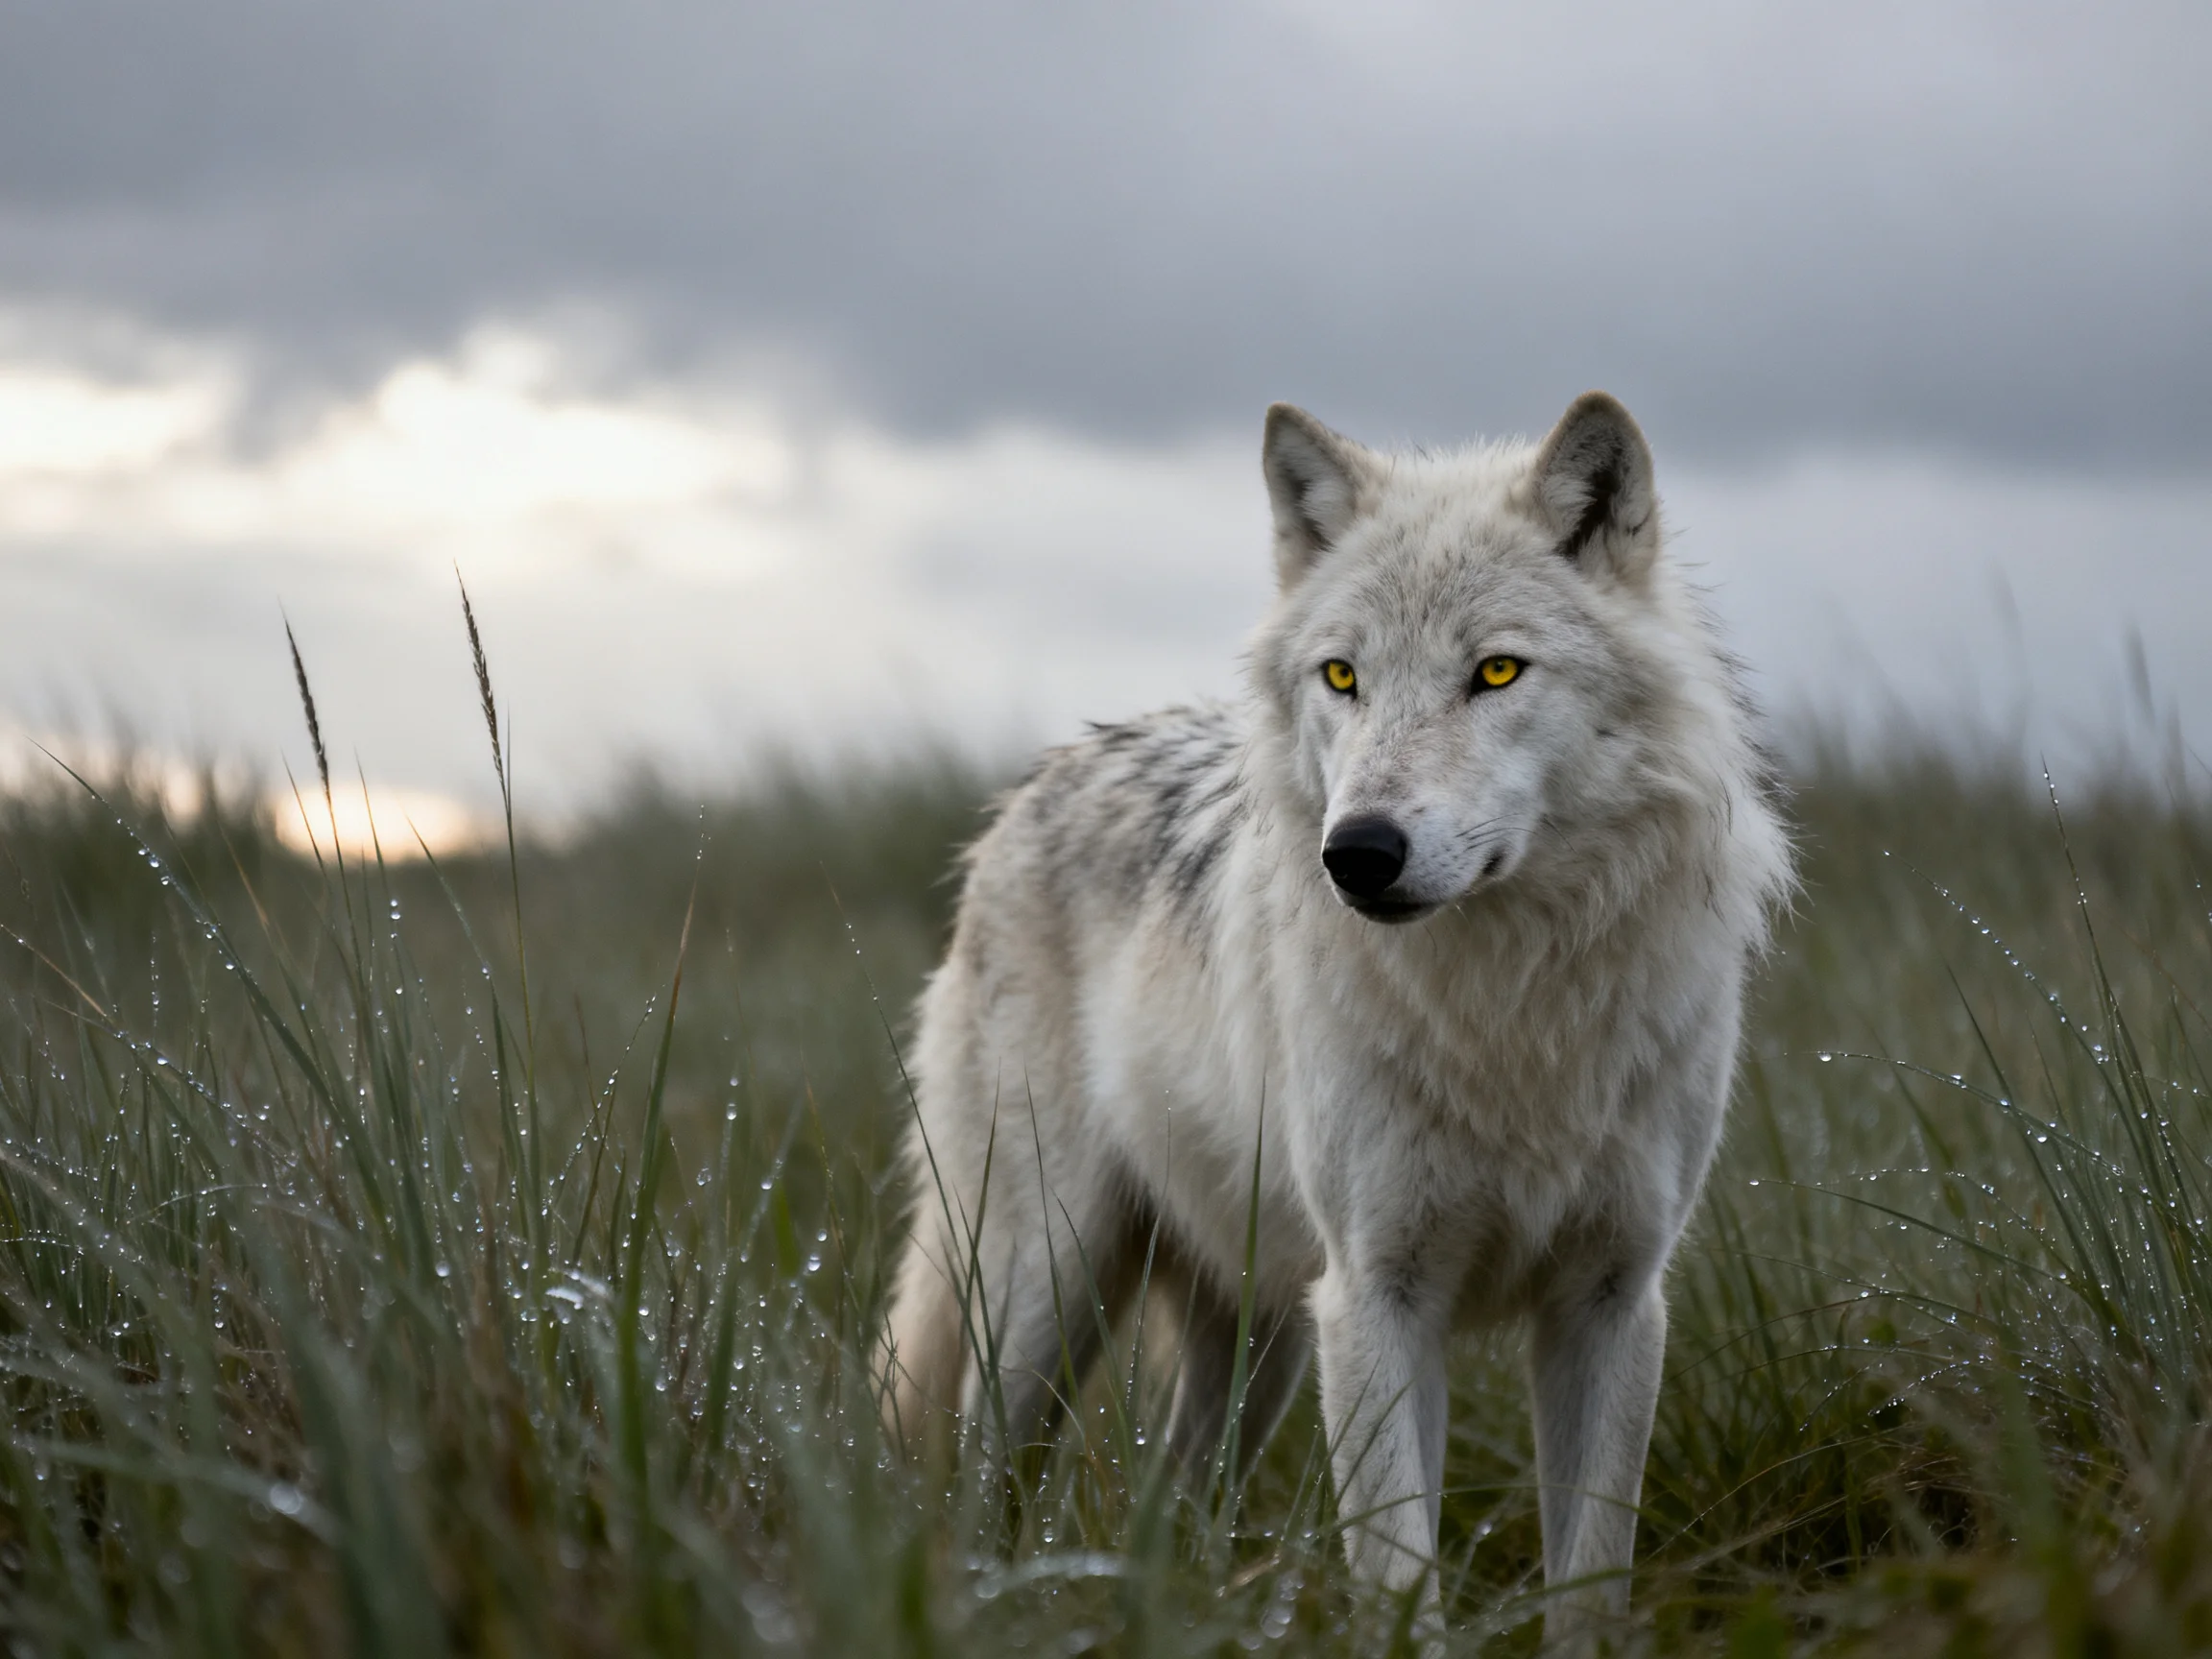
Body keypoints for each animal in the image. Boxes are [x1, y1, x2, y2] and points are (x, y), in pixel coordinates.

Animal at [880, 392, 1792, 1645]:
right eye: (1343, 676)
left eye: (1496, 671)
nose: (1358, 853)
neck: (1510, 1007)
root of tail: (1034, 785)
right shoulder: (1373, 1299)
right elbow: (1402, 1579)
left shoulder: (1612, 1300)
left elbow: (1591, 1582)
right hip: (1042, 1297)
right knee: (976, 1489)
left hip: (1254, 1341)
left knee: (1177, 1505)